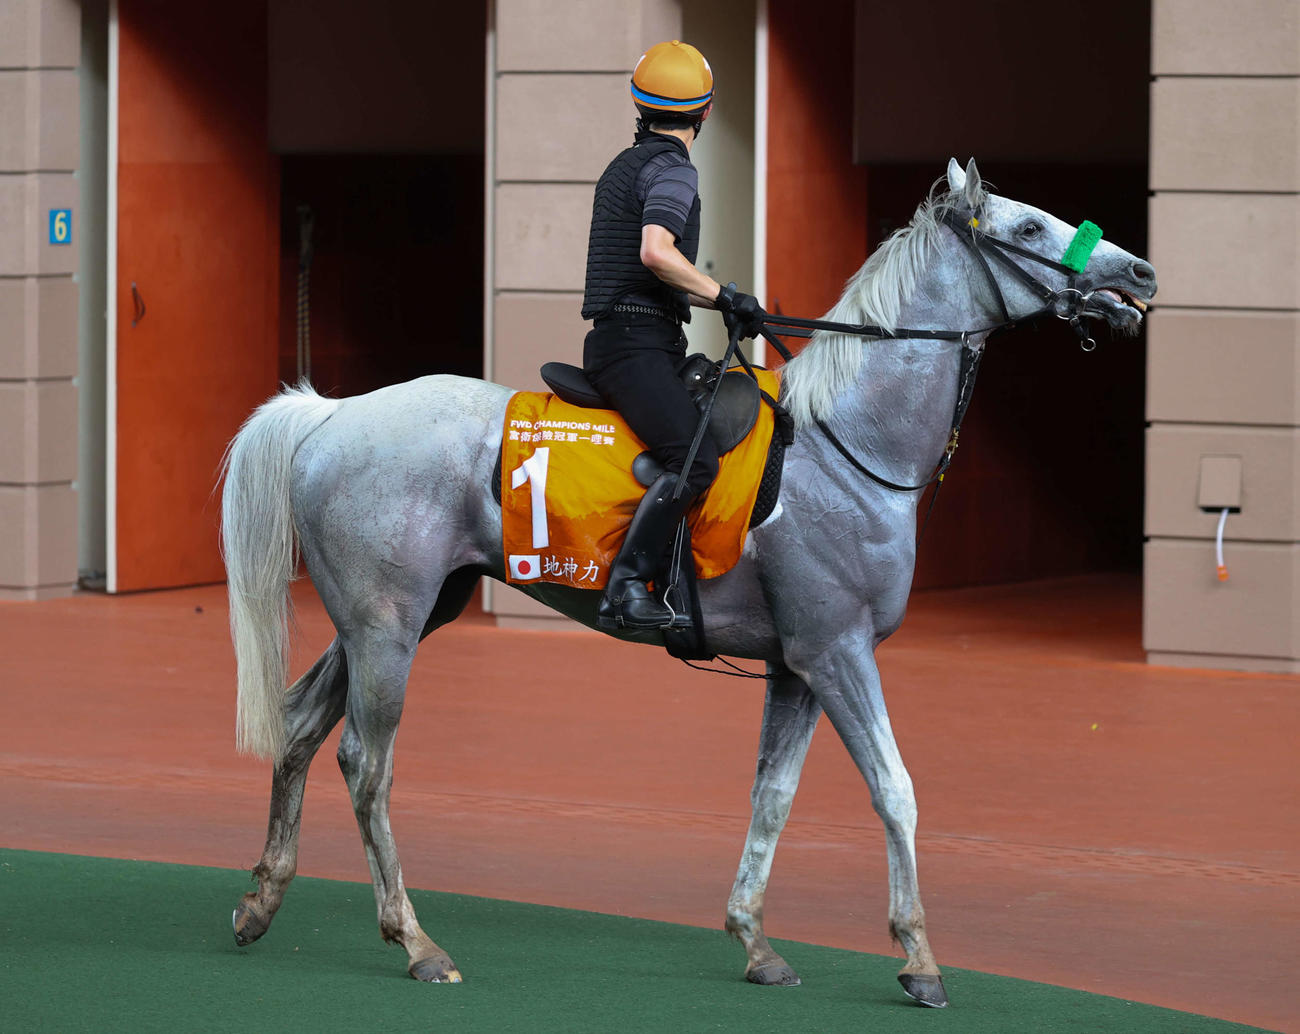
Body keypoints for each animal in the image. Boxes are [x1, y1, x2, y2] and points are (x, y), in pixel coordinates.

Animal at [221, 158, 1156, 1008]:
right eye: (1028, 226)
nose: (1139, 275)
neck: (846, 444)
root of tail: (333, 413)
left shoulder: (795, 668)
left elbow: (772, 797)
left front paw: (756, 942)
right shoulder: (839, 653)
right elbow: (895, 790)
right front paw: (919, 959)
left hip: (391, 621)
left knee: (302, 729)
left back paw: (263, 899)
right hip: (388, 626)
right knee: (366, 764)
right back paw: (415, 942)